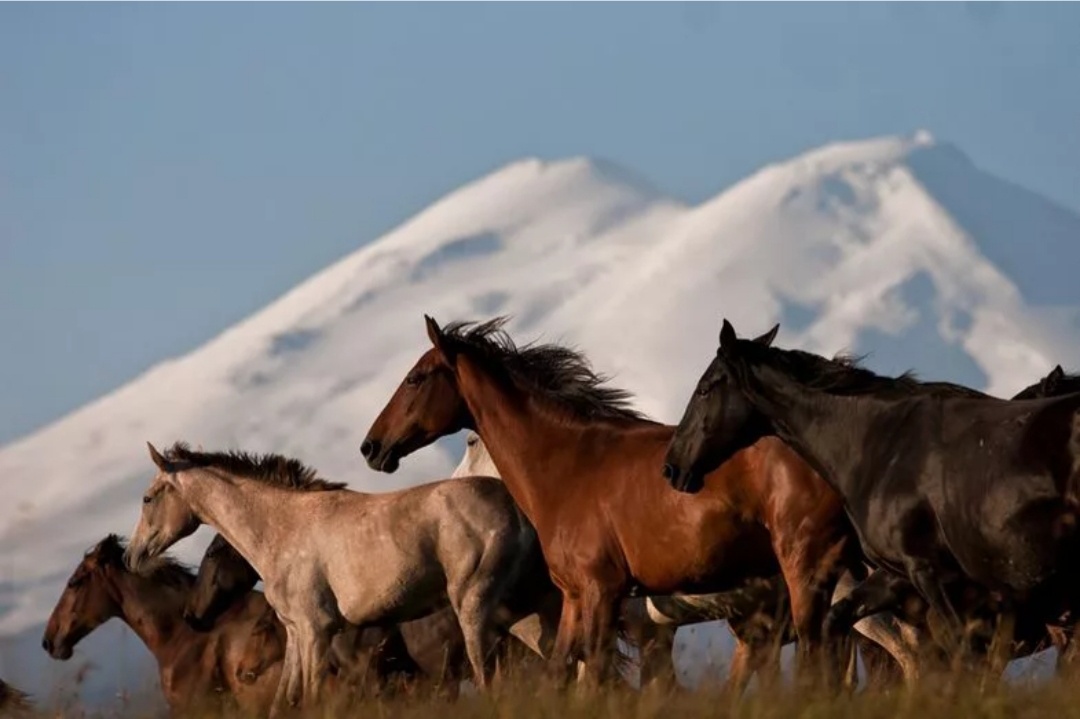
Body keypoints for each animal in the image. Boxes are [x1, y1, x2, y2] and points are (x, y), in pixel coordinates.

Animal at [125, 442, 552, 716]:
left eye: (147, 498)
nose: (133, 556)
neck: (282, 529)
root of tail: (515, 505)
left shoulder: (318, 630)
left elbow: (313, 701)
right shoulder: (296, 634)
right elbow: (284, 703)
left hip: (473, 605)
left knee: (490, 676)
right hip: (519, 607)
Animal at [362, 315, 872, 691]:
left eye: (415, 378)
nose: (372, 447)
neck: (570, 464)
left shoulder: (603, 591)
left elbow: (596, 680)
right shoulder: (575, 597)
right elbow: (563, 674)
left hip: (807, 566)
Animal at [663, 318, 1080, 677]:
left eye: (704, 388)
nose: (672, 466)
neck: (880, 443)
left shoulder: (933, 573)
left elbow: (963, 656)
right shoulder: (897, 574)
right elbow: (836, 624)